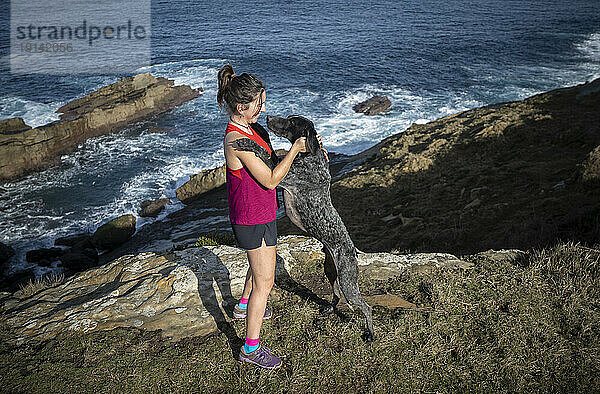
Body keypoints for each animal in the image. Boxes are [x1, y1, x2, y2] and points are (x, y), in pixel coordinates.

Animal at [232, 114, 372, 342]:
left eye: (291, 122)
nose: (268, 117)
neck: (309, 156)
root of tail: (353, 251)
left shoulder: (280, 174)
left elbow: (264, 152)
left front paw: (246, 142)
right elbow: (271, 152)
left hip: (348, 282)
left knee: (366, 307)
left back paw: (370, 333)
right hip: (331, 272)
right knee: (336, 295)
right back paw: (329, 310)